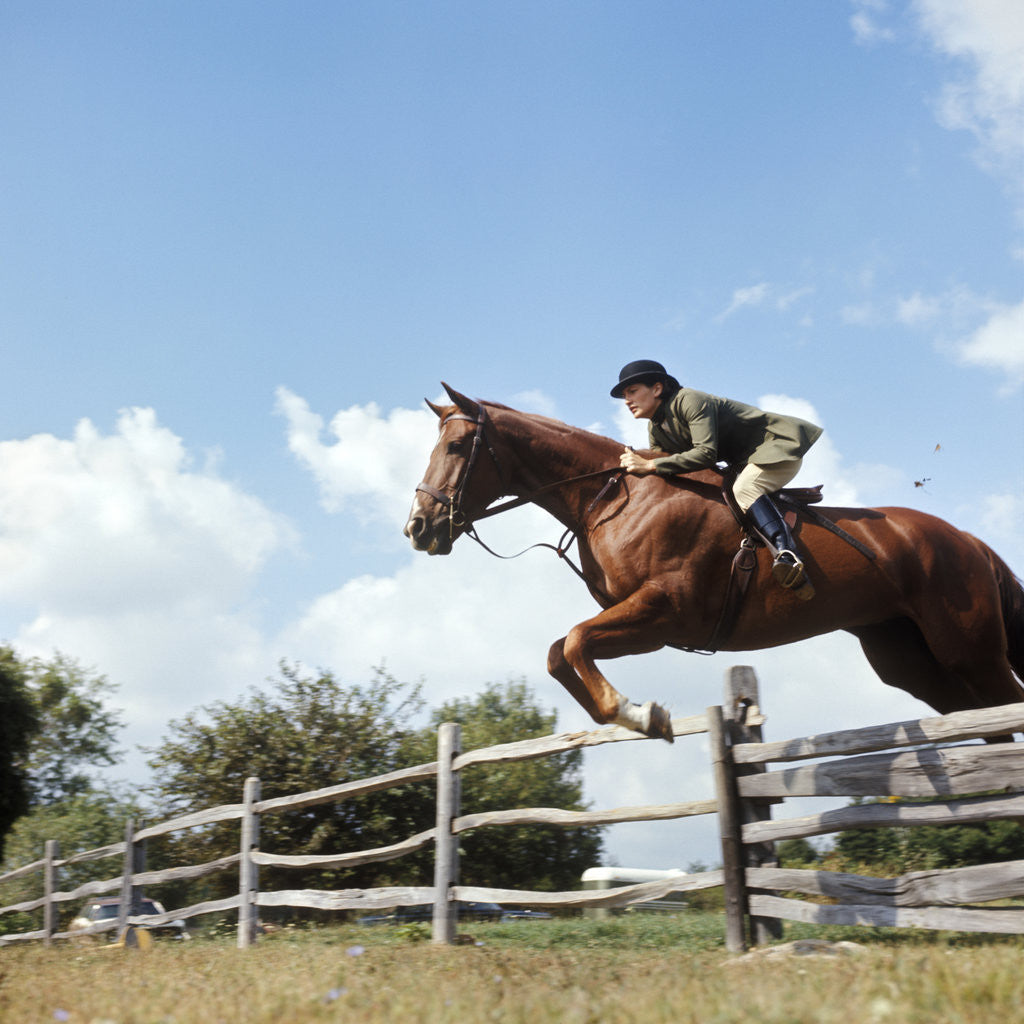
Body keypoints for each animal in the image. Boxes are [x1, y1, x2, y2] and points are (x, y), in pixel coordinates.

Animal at [403, 384, 1024, 742]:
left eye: (455, 448)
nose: (418, 528)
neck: (611, 496)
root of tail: (970, 541)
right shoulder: (645, 625)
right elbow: (561, 653)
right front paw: (634, 717)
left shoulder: (662, 612)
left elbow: (576, 642)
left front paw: (643, 715)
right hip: (910, 660)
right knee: (981, 719)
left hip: (969, 650)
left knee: (1005, 702)